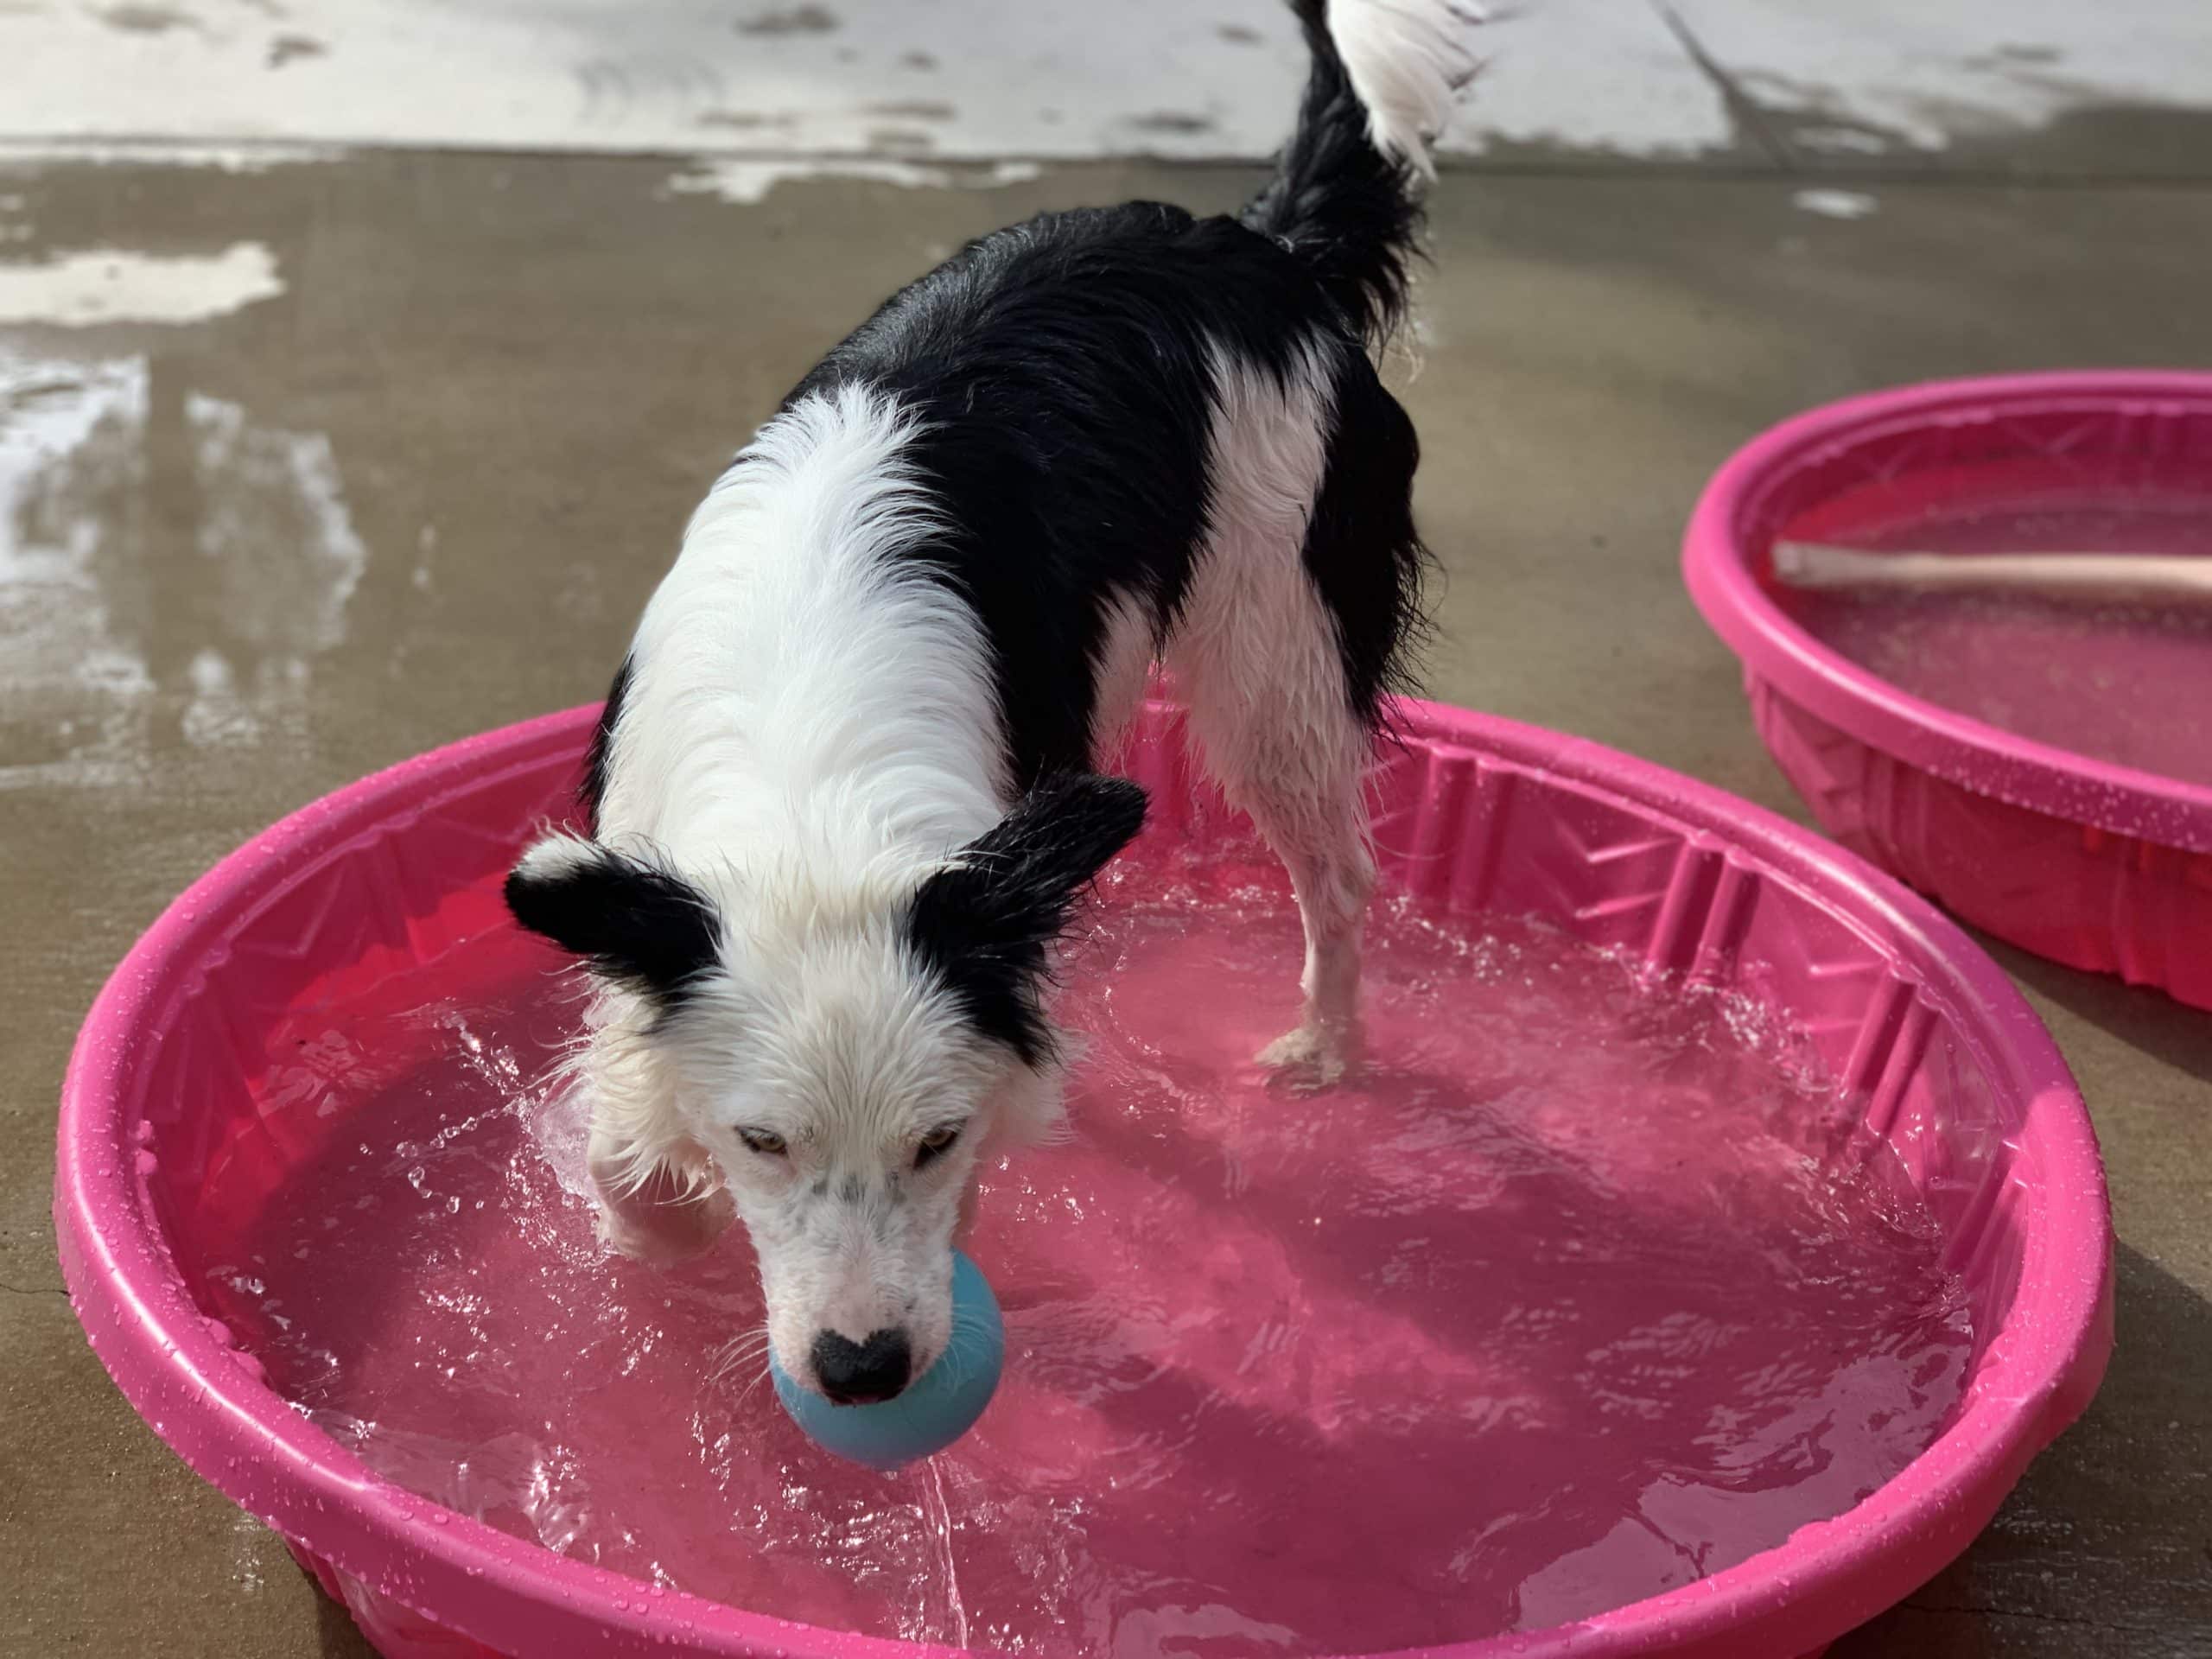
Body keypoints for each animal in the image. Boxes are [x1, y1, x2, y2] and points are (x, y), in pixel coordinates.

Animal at [504, 0, 1468, 1415]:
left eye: (935, 1139)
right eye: (764, 1139)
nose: (861, 1374)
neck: (813, 782)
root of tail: (1253, 246)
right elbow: (628, 1155)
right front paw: (656, 1234)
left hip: (1276, 637)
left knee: (1337, 868)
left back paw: (1323, 1050)